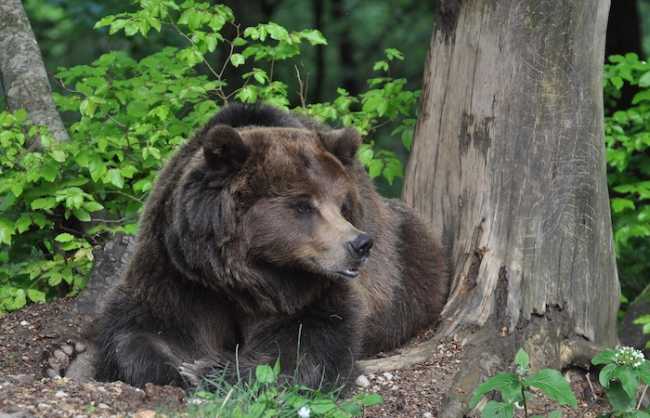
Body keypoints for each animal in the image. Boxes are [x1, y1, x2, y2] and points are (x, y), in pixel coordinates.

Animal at [46, 103, 449, 390]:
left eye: (342, 204)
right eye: (303, 205)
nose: (359, 243)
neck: (246, 276)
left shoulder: (309, 293)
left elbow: (308, 347)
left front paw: (213, 368)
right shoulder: (179, 272)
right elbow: (142, 328)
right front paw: (180, 365)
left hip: (408, 267)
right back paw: (66, 354)